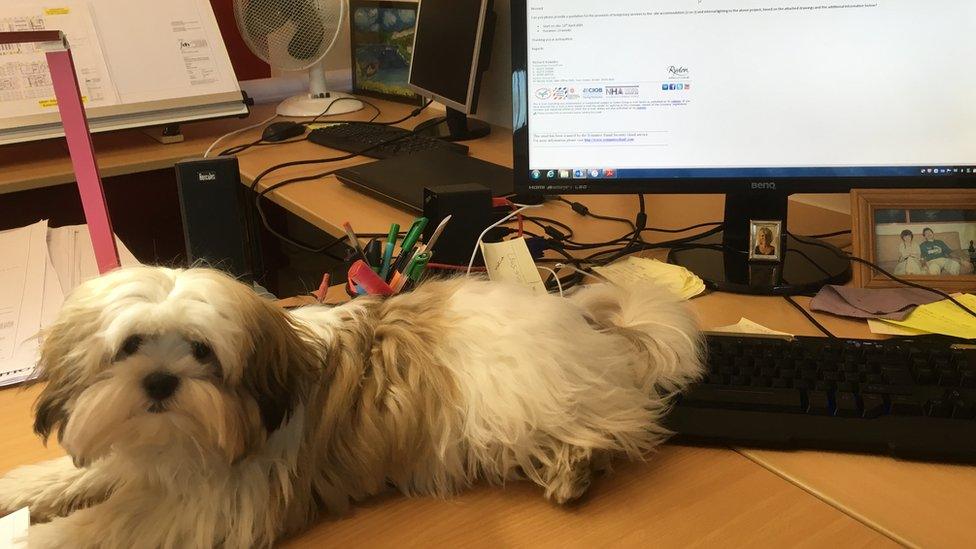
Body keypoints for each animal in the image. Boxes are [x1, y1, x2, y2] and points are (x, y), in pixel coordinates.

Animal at [0, 264, 700, 544]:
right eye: (131, 346)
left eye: (201, 351)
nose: (160, 381)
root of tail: (587, 327)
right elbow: (77, 477)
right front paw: (22, 491)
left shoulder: (214, 506)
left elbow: (103, 524)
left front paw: (39, 535)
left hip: (522, 405)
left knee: (602, 432)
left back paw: (572, 473)